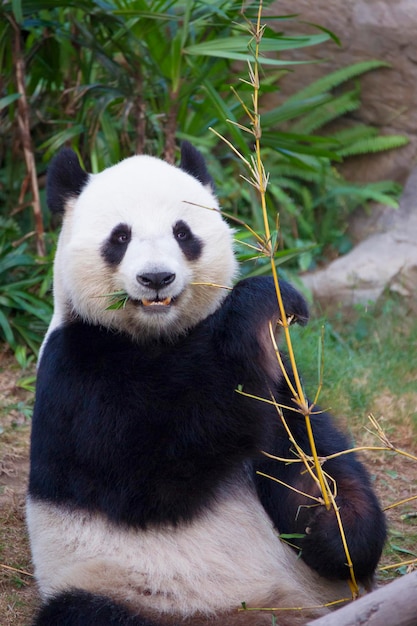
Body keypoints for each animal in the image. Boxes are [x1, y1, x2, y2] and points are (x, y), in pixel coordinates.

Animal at [27, 143, 386, 624]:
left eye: (183, 233)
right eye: (119, 238)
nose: (156, 278)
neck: (159, 336)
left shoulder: (278, 379)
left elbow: (297, 449)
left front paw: (336, 525)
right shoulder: (77, 371)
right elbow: (153, 470)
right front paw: (261, 303)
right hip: (122, 588)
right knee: (87, 611)